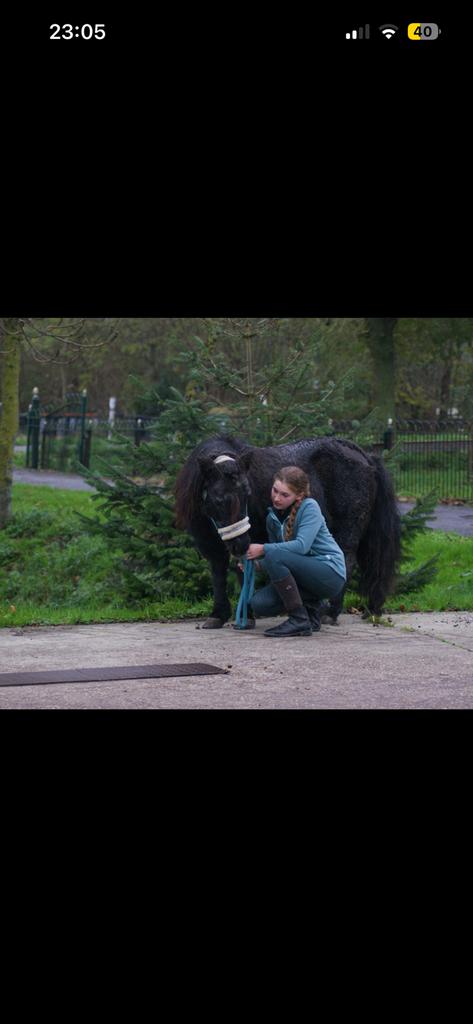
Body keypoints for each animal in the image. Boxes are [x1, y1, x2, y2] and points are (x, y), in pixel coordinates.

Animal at [174, 434, 401, 628]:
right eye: (218, 499)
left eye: (247, 494)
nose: (240, 544)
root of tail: (365, 457)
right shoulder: (210, 544)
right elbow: (219, 574)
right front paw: (218, 615)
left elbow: (241, 574)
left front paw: (246, 615)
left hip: (349, 527)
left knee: (347, 559)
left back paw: (330, 612)